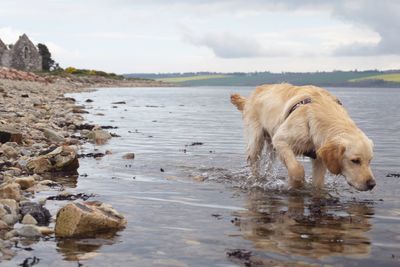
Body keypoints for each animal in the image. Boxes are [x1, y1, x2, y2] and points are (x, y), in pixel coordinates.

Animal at [231, 83, 376, 191]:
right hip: (256, 141)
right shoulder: (281, 140)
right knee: (254, 164)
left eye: (370, 160)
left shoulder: (319, 157)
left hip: (271, 147)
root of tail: (252, 94)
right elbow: (297, 170)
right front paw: (296, 184)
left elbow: (318, 184)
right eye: (355, 160)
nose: (372, 184)